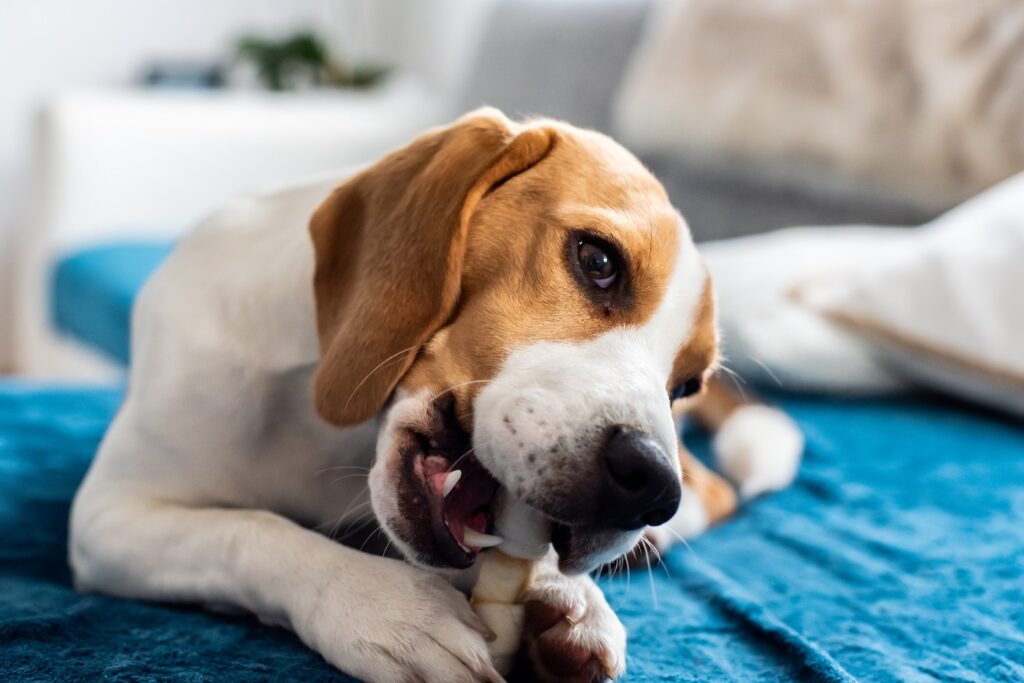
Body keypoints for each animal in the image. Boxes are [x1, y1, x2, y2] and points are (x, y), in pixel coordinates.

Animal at [72, 109, 802, 679]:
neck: (331, 434)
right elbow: (250, 530)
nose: (650, 485)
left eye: (685, 384)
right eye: (598, 261)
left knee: (716, 492)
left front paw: (571, 596)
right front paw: (385, 608)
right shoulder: (109, 519)